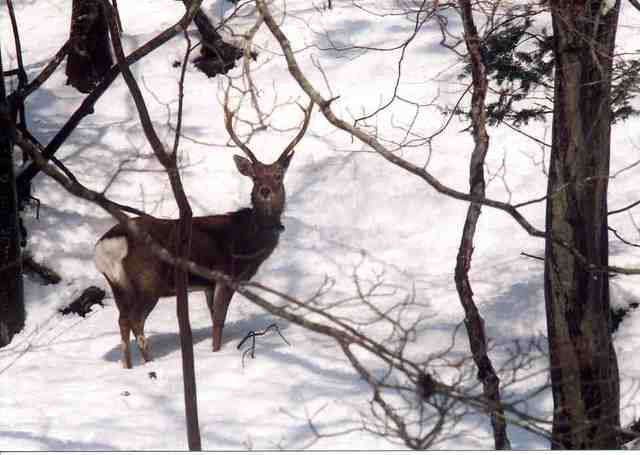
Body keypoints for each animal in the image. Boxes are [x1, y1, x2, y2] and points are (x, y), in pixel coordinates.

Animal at [94, 101, 312, 368]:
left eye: (279, 175)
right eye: (254, 176)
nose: (264, 190)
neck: (247, 241)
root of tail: (106, 247)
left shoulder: (208, 285)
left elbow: (213, 317)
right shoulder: (225, 275)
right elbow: (218, 321)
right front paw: (216, 352)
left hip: (118, 286)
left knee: (123, 322)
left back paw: (128, 367)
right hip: (147, 282)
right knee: (135, 322)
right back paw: (149, 363)